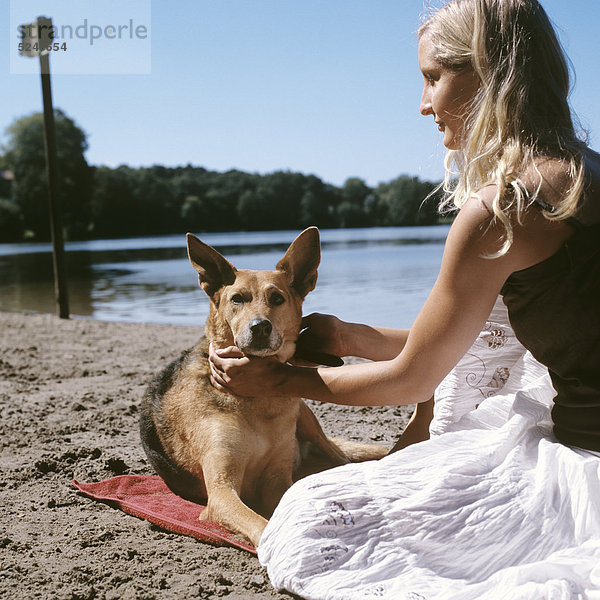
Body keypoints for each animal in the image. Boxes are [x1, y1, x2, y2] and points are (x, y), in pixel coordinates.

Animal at [139, 227, 386, 548]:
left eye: (277, 298)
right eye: (237, 299)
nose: (260, 327)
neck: (255, 400)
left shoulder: (277, 480)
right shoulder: (221, 492)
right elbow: (260, 523)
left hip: (306, 417)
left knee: (340, 457)